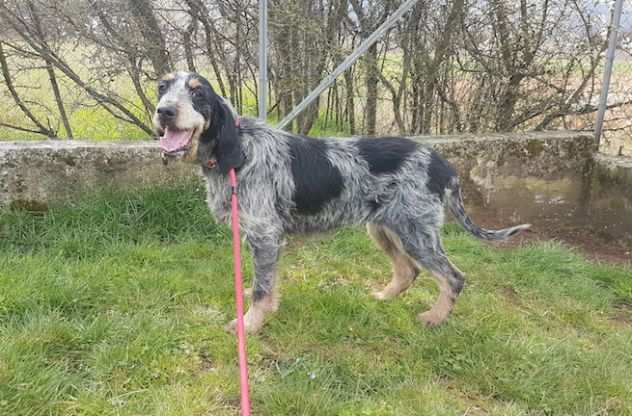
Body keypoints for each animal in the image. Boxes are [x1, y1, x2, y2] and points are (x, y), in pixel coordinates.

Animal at [156, 70, 532, 334]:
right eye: (161, 87)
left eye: (197, 92)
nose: (163, 111)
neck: (236, 152)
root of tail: (444, 165)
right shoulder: (264, 241)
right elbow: (266, 285)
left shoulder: (265, 236)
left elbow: (262, 289)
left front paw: (248, 326)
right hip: (384, 227)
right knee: (408, 271)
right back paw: (383, 298)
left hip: (416, 233)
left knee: (453, 277)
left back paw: (434, 318)